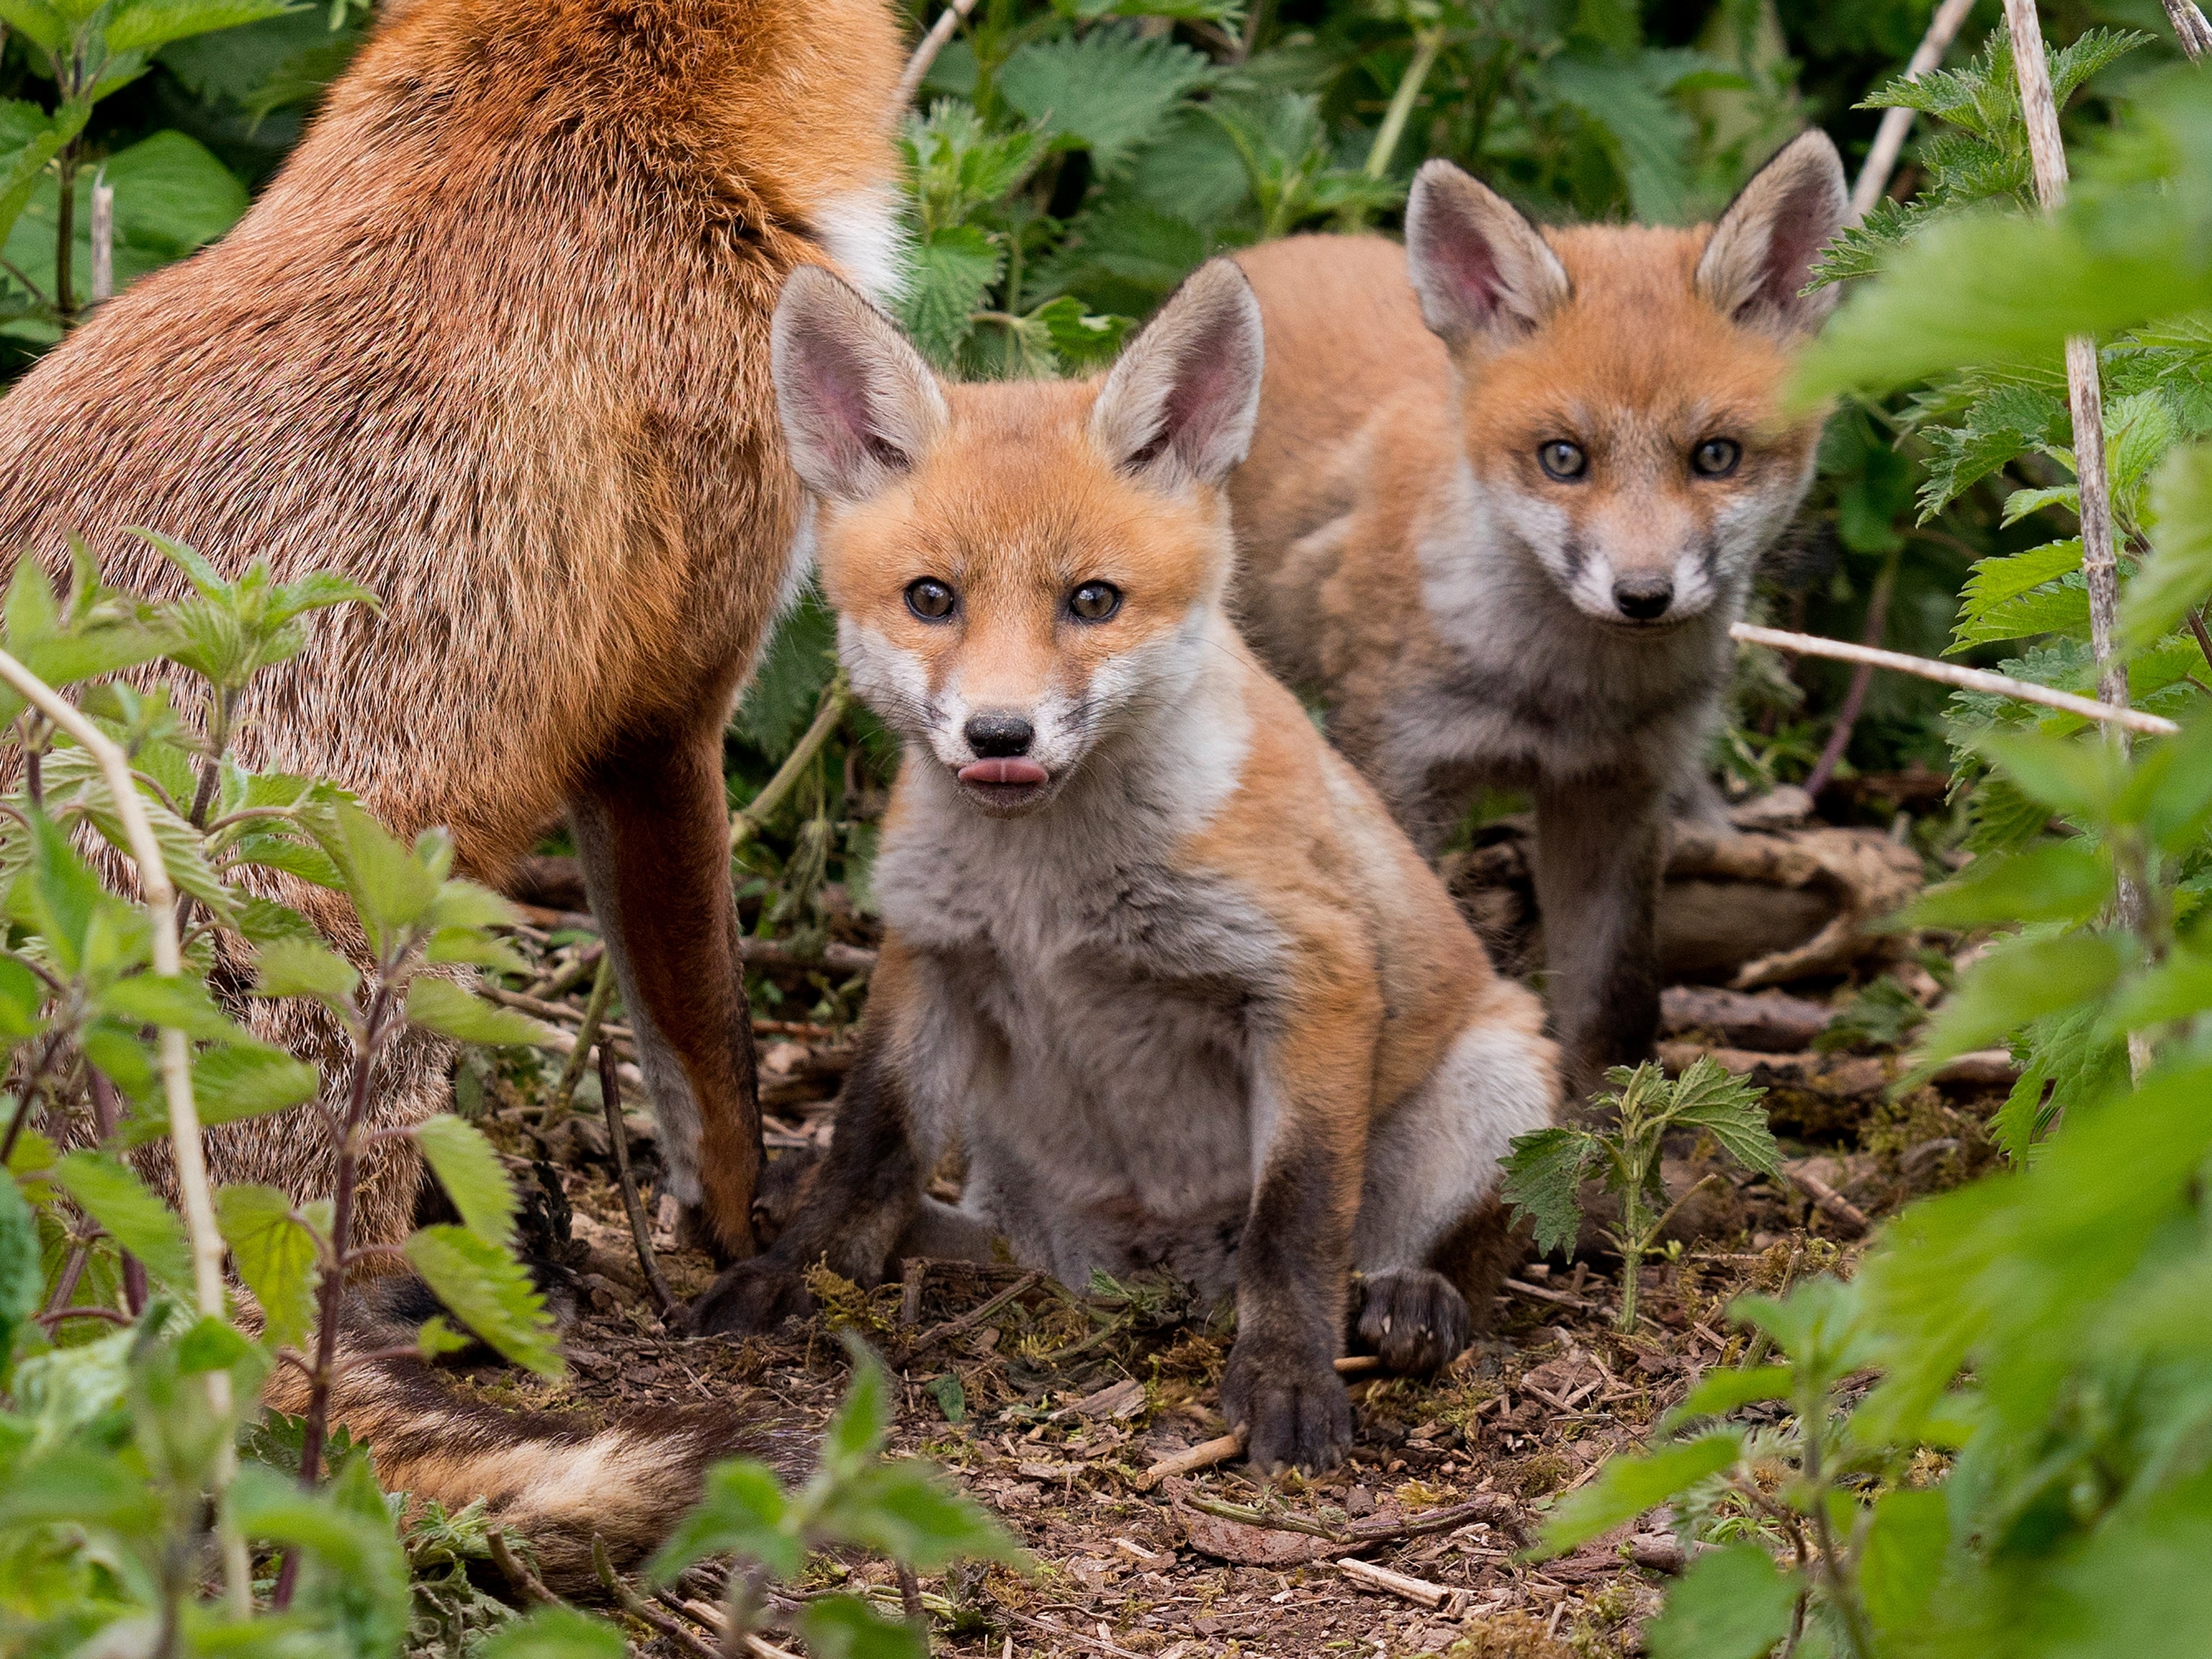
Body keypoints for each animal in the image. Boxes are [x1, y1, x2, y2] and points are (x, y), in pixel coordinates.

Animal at [0, 0, 901, 1576]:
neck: (586, 101)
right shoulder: (670, 712)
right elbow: (708, 1055)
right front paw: (749, 1241)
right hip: (373, 964)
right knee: (323, 1335)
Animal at [688, 261, 1561, 1474]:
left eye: (1092, 601)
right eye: (931, 598)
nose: (999, 735)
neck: (1047, 897)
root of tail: (1147, 1277)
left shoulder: (1316, 976)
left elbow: (1297, 1222)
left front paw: (1287, 1379)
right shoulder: (930, 953)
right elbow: (869, 1147)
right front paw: (790, 1274)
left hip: (1502, 1073)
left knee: (1449, 1249)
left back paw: (1413, 1303)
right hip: (1022, 1206)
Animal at [1225, 132, 1848, 1098]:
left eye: (1716, 456)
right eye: (1564, 458)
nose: (1643, 595)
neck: (1565, 697)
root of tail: (1281, 243)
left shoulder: (1618, 795)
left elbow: (1613, 1009)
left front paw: (1606, 1140)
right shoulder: (1400, 766)